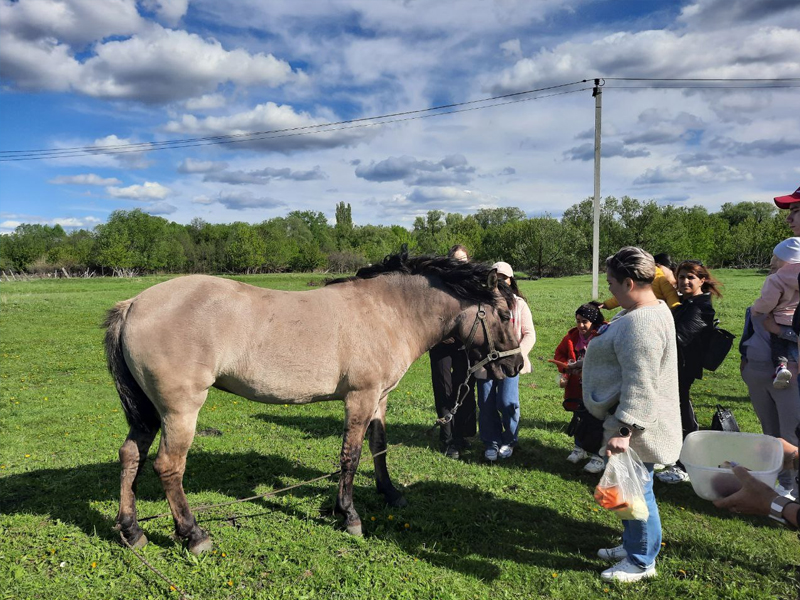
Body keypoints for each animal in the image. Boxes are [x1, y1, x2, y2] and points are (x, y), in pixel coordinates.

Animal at [104, 252, 524, 552]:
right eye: (505, 313)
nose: (515, 364)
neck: (387, 312)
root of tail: (134, 303)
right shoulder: (360, 398)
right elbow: (351, 456)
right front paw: (349, 515)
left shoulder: (380, 399)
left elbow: (379, 447)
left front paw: (390, 494)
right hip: (180, 411)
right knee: (168, 466)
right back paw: (193, 535)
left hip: (148, 412)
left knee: (131, 456)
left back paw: (132, 531)